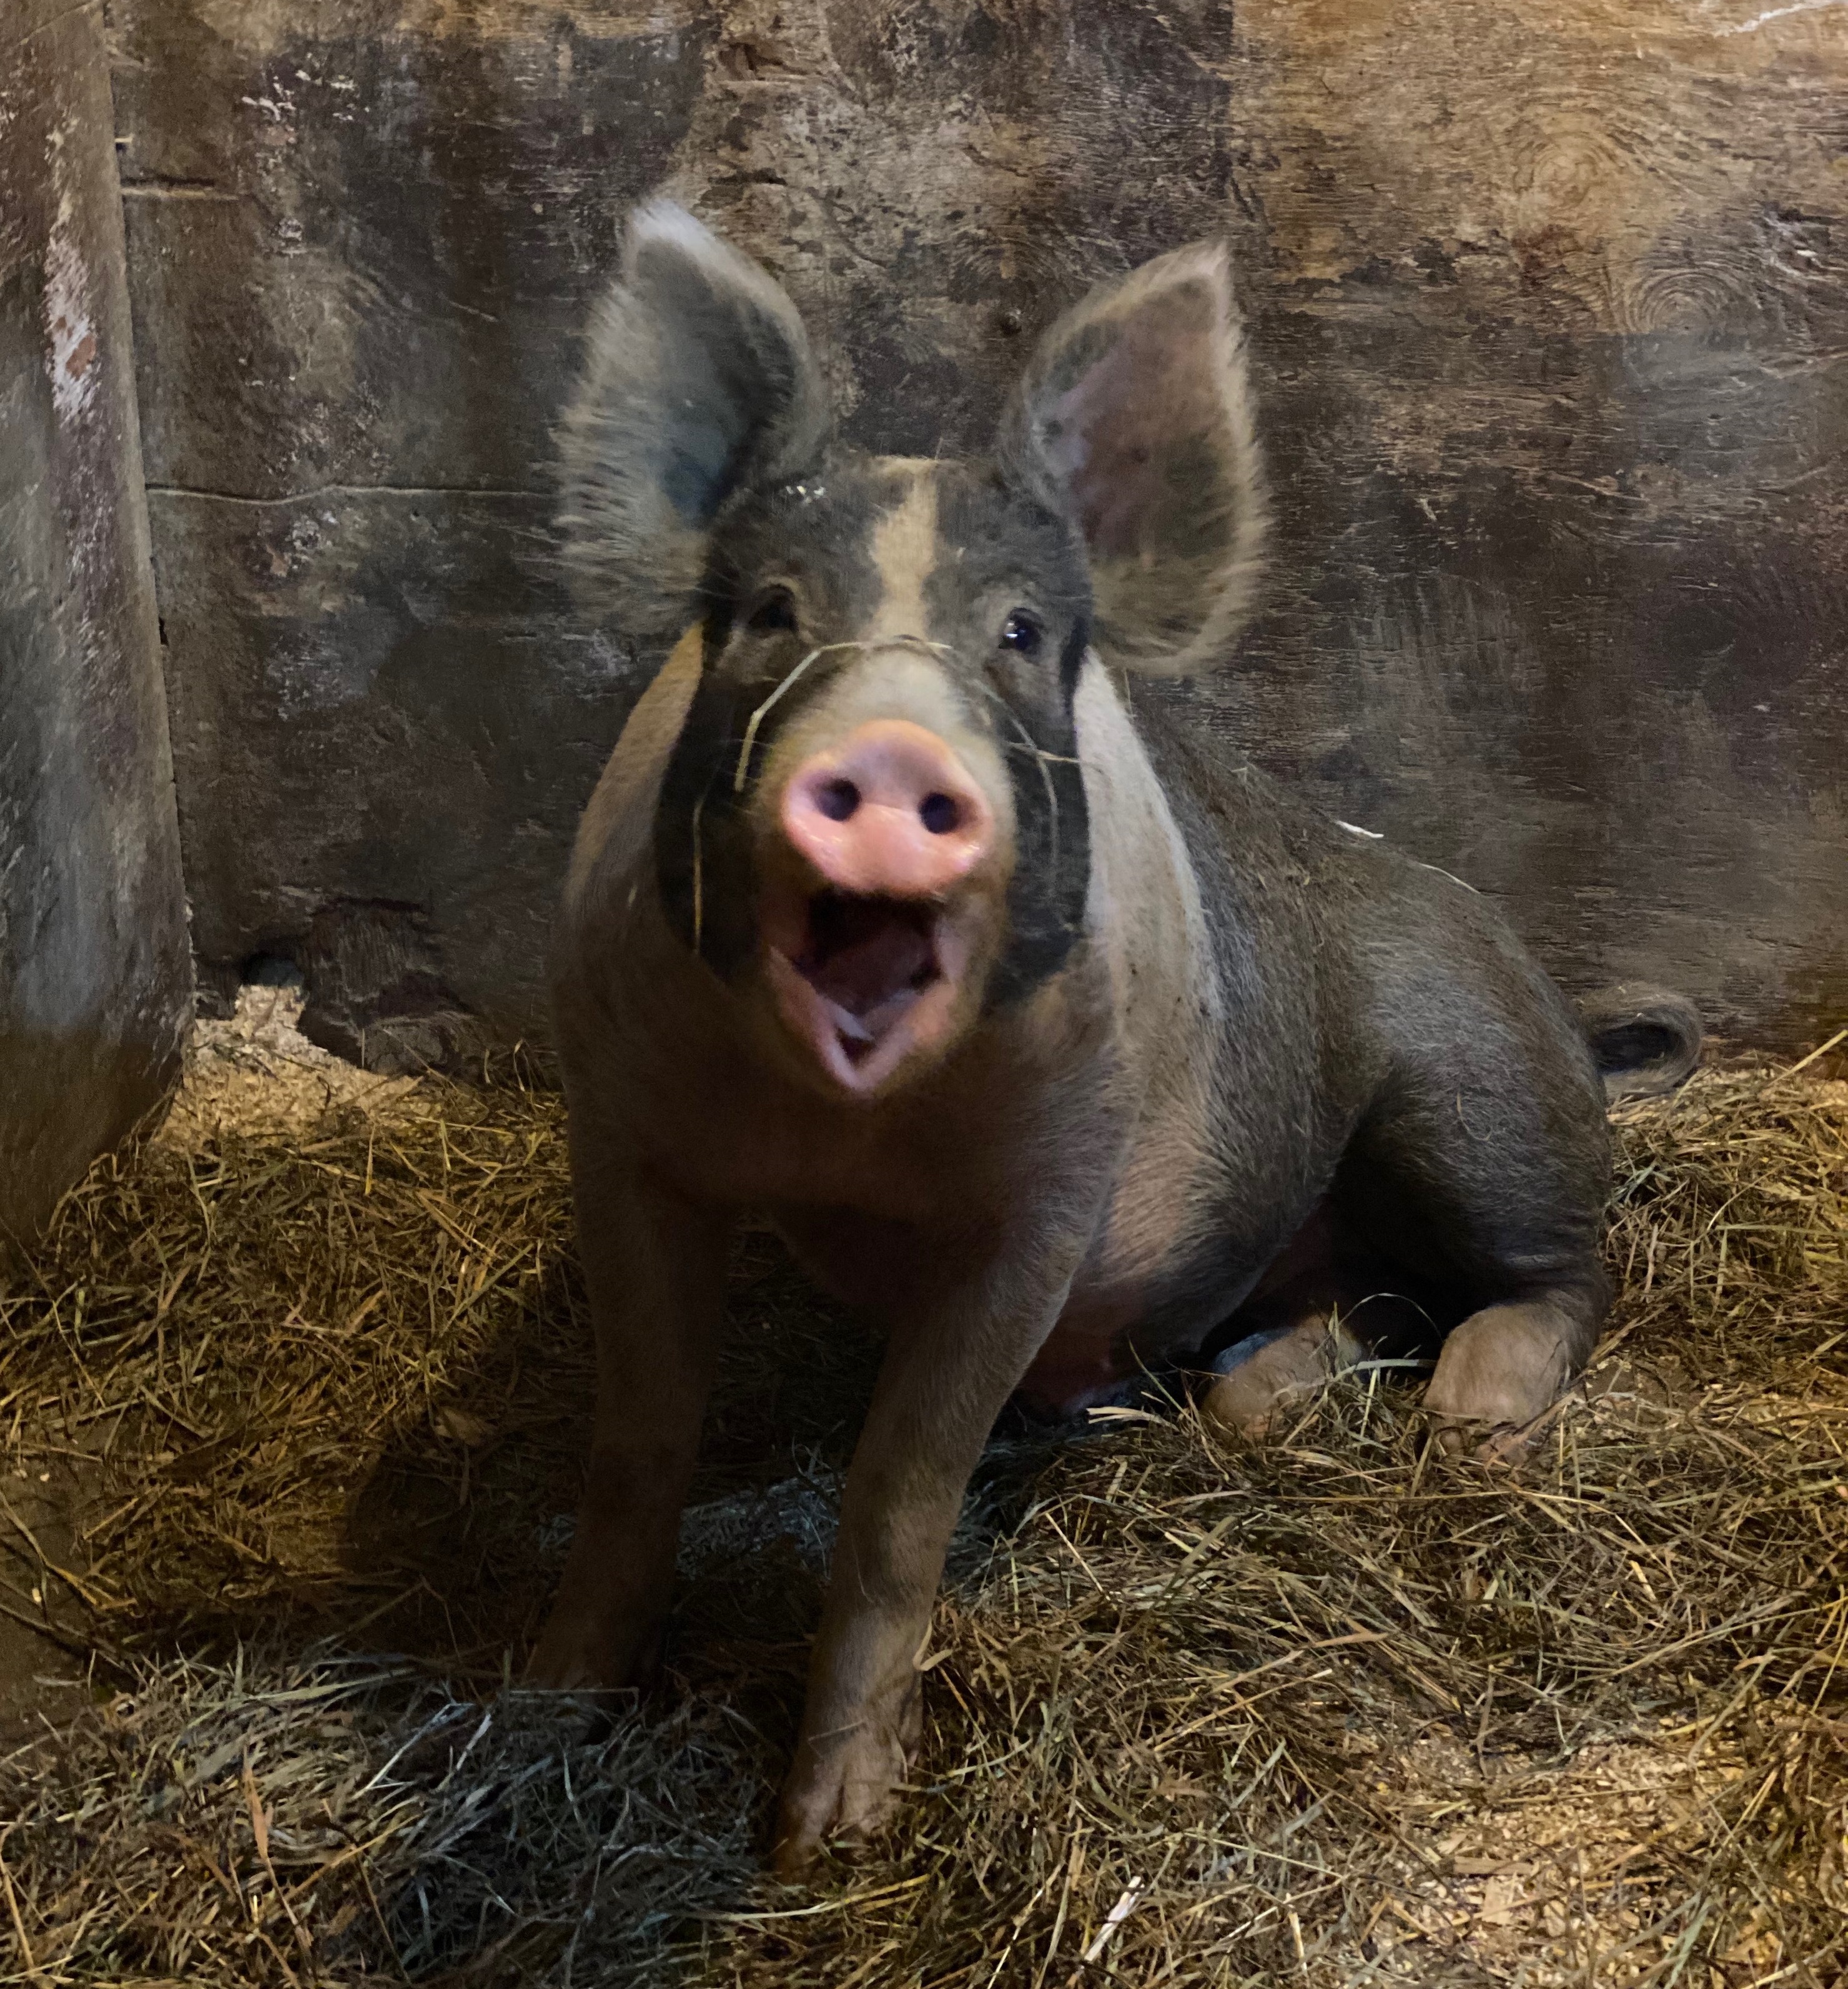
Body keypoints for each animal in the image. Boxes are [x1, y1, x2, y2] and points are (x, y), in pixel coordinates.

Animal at [528, 201, 1701, 1873]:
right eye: (767, 616)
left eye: (1020, 634)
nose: (891, 752)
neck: (837, 1137)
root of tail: (1565, 1016)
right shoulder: (621, 1130)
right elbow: (636, 1444)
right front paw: (544, 1695)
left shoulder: (1046, 1193)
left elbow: (898, 1497)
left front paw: (830, 1841)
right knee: (1352, 1306)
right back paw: (1260, 1397)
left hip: (1468, 1098)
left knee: (1557, 1275)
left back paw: (1466, 1427)